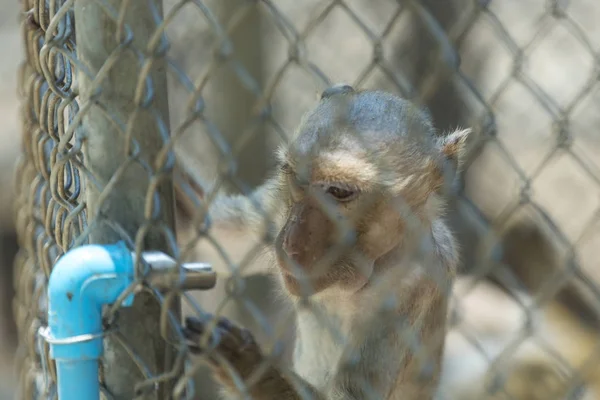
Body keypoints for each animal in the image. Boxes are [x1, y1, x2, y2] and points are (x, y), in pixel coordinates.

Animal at [176, 85, 472, 400]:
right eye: (296, 178)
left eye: (339, 192)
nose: (290, 242)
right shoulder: (277, 209)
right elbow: (207, 231)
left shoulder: (414, 283)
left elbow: (349, 396)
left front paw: (244, 363)